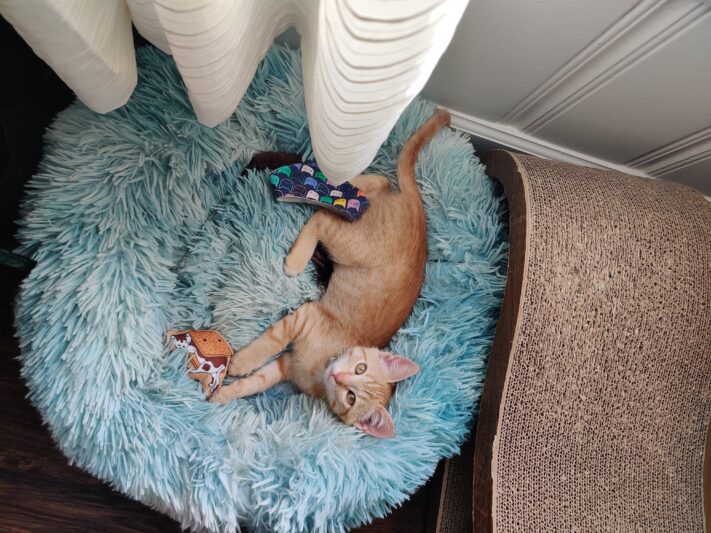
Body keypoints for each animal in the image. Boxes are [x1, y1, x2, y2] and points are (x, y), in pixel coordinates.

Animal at [210, 109, 450, 436]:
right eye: (360, 368)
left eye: (351, 397)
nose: (338, 377)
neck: (322, 364)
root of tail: (418, 215)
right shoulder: (305, 315)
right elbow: (268, 342)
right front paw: (240, 361)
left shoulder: (285, 367)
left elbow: (256, 382)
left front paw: (223, 394)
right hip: (352, 244)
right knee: (327, 215)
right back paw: (298, 254)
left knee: (368, 188)